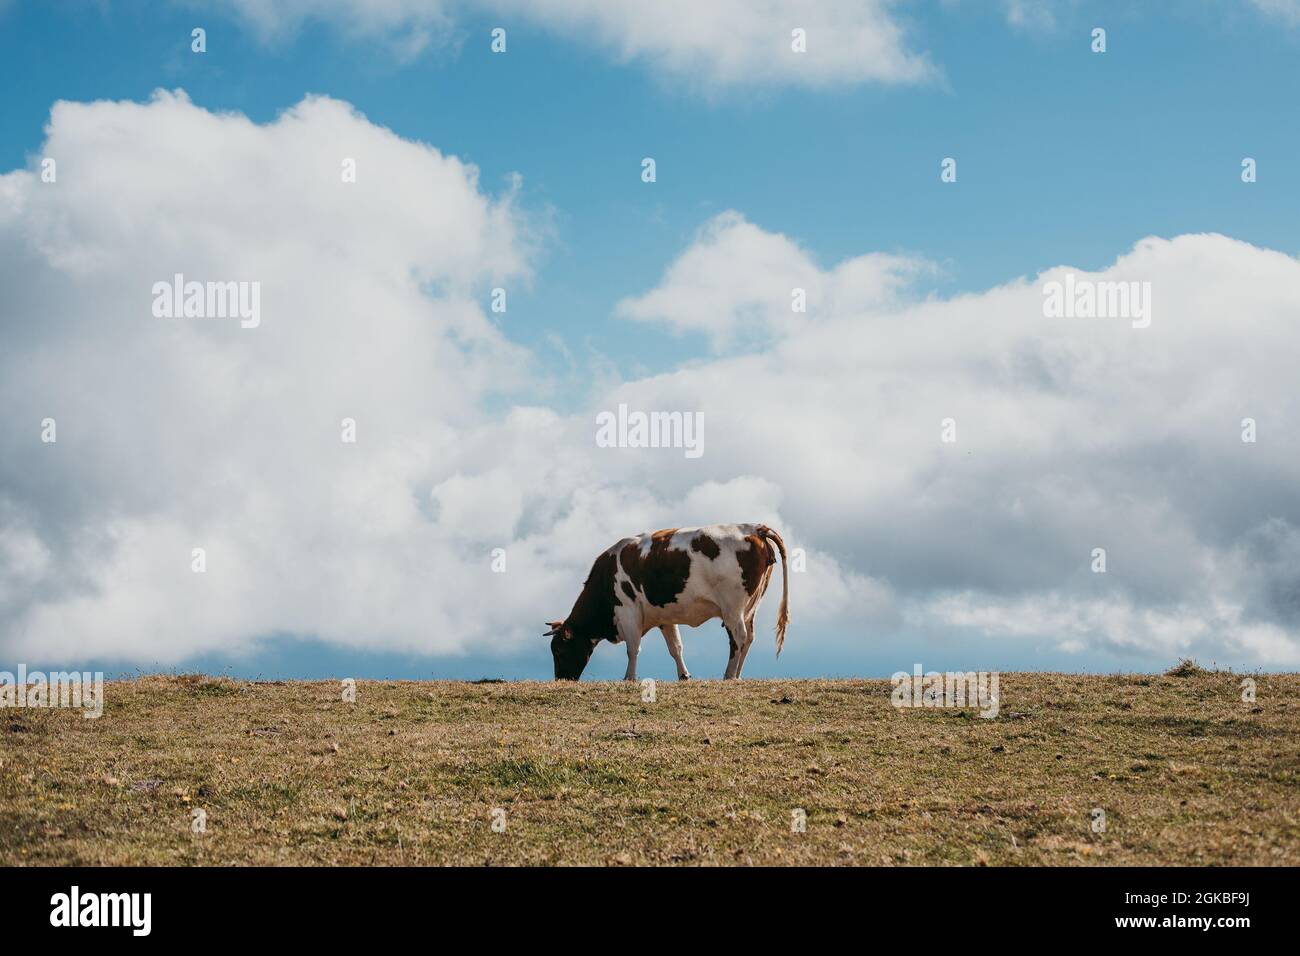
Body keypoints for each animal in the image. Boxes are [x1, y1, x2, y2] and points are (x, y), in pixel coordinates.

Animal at [544, 523, 789, 681]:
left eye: (559, 651)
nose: (561, 680)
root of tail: (755, 528)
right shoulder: (665, 618)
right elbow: (675, 648)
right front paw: (684, 675)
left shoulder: (628, 611)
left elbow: (633, 648)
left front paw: (629, 678)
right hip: (750, 607)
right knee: (748, 639)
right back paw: (737, 675)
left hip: (732, 608)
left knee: (738, 638)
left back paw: (729, 675)